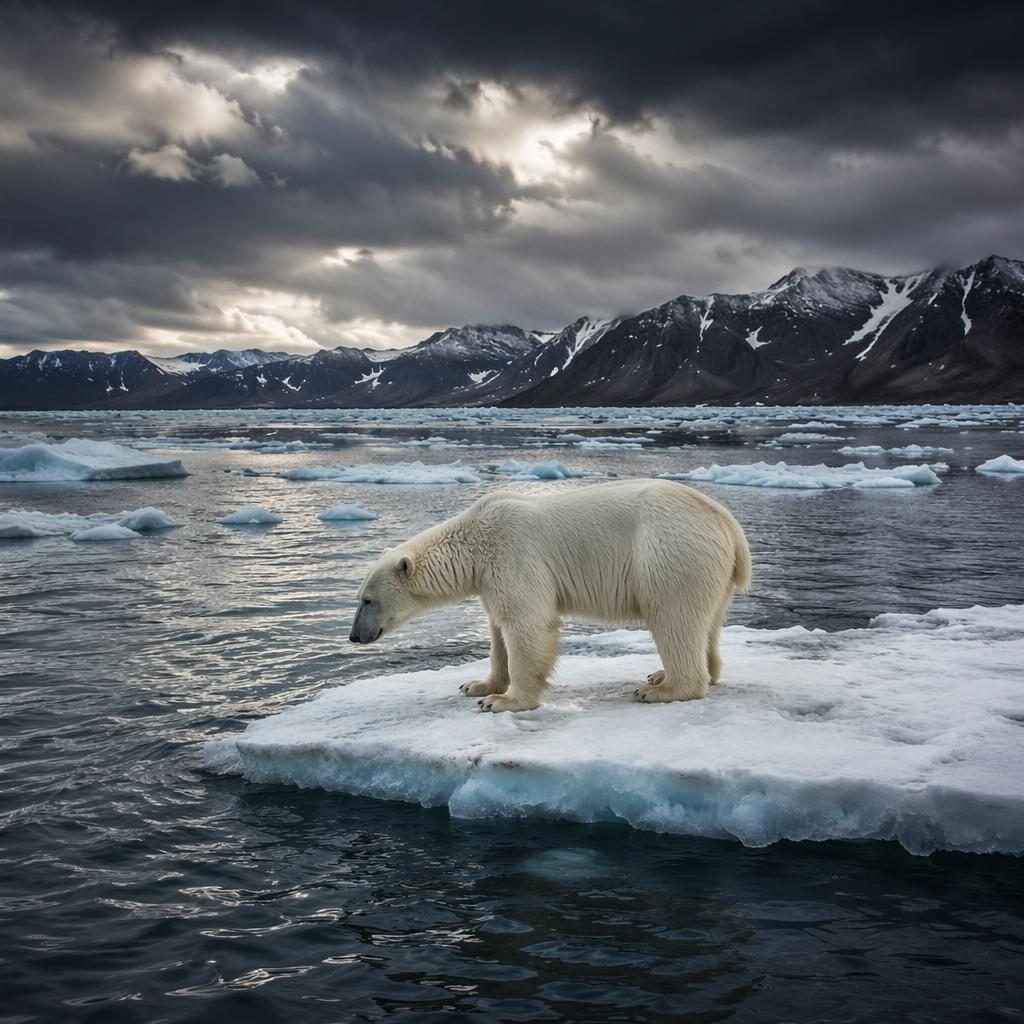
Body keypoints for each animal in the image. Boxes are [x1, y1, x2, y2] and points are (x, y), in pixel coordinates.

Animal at [349, 478, 751, 713]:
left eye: (366, 599)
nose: (354, 636)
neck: (474, 541)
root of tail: (730, 525)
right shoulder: (490, 577)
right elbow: (498, 632)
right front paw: (476, 684)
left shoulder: (513, 554)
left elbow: (527, 625)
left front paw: (502, 701)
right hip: (708, 569)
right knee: (707, 622)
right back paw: (665, 674)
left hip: (668, 553)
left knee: (673, 618)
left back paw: (660, 689)